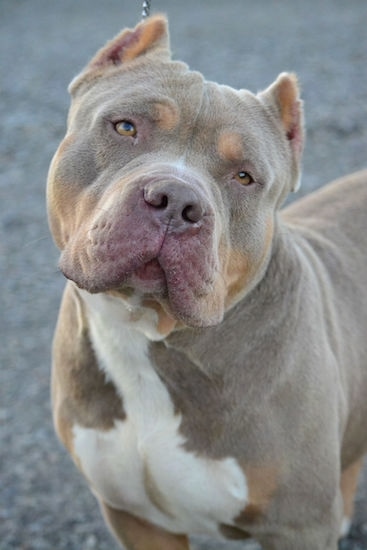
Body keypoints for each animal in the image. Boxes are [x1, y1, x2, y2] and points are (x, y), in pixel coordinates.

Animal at [47, 14, 367, 550]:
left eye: (244, 177)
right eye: (126, 127)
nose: (176, 201)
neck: (146, 334)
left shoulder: (296, 526)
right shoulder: (137, 518)